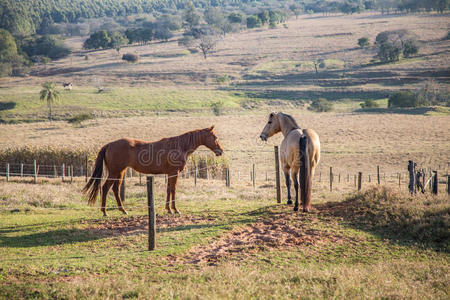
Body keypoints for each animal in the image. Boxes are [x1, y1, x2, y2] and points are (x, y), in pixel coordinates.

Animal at [82, 126, 223, 216]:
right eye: (215, 137)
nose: (220, 151)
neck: (179, 146)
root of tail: (109, 144)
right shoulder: (174, 173)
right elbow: (173, 189)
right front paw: (175, 209)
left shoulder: (169, 174)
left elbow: (168, 189)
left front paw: (168, 209)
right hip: (114, 172)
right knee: (105, 188)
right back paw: (105, 212)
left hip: (120, 172)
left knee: (115, 189)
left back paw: (123, 210)